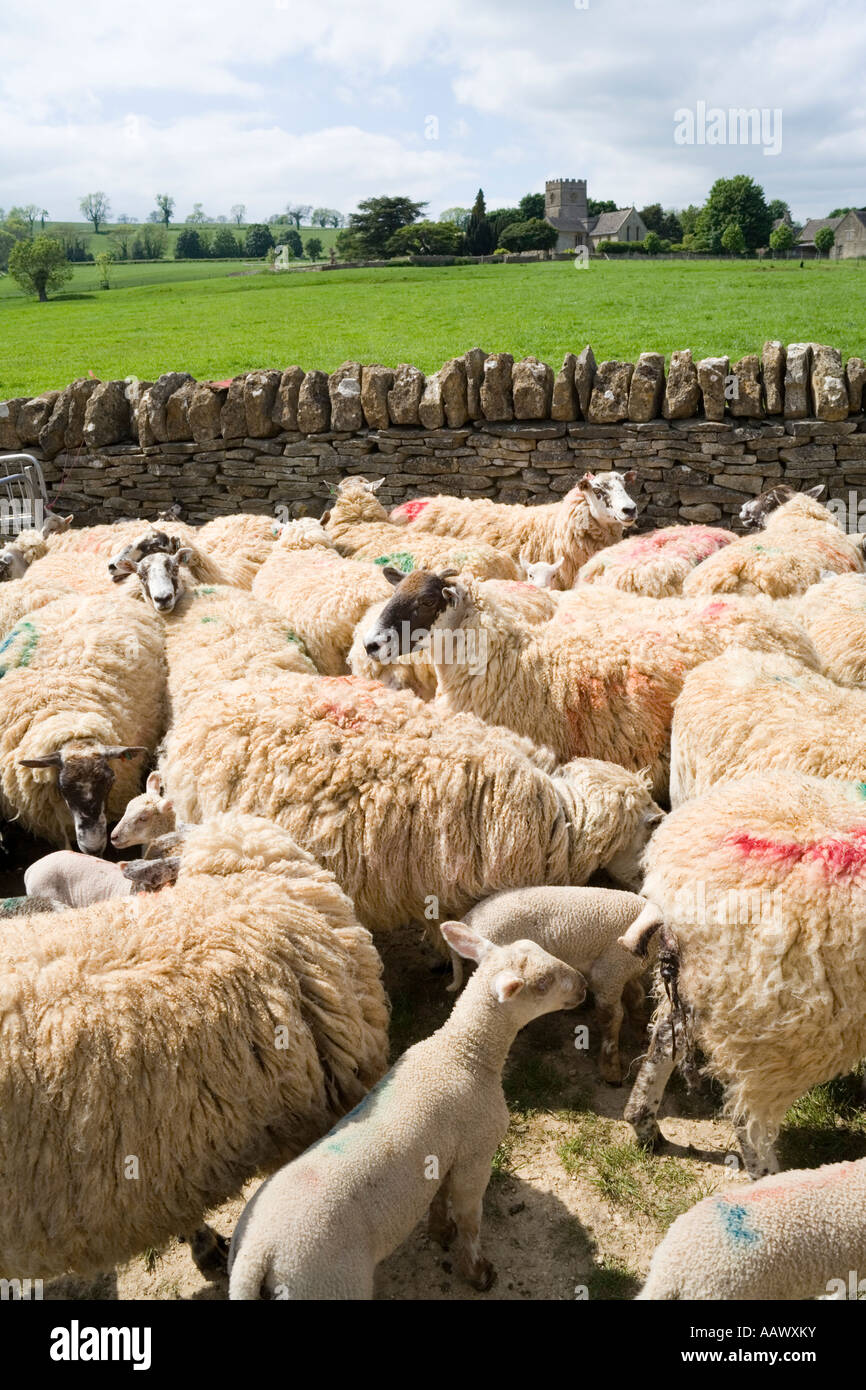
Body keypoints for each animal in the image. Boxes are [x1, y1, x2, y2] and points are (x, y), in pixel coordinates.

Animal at [228, 919, 583, 1299]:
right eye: (543, 984)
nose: (583, 986)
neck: (463, 1053)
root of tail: (256, 1257)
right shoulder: (476, 1153)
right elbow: (470, 1220)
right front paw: (477, 1273)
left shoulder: (446, 1153)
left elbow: (440, 1197)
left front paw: (441, 1231)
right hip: (329, 1282)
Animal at [449, 888, 662, 1083]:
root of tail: (468, 919)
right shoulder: (610, 972)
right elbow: (611, 1017)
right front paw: (611, 1070)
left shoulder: (624, 972)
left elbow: (636, 997)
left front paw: (642, 1033)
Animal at [622, 771, 866, 1178]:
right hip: (780, 1028)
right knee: (747, 1121)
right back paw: (771, 1179)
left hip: (705, 989)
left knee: (664, 1040)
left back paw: (644, 1125)